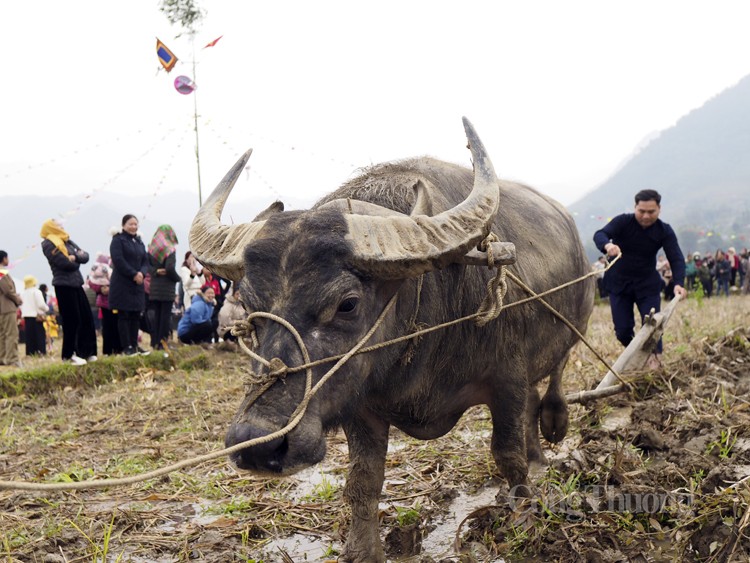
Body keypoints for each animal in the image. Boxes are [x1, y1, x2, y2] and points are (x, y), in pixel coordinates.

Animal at [191, 118, 596, 560]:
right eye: (248, 305)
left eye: (347, 304)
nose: (256, 443)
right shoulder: (359, 405)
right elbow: (363, 481)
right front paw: (363, 549)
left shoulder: (507, 380)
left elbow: (507, 455)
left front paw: (522, 515)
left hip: (574, 328)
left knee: (550, 386)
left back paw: (550, 434)